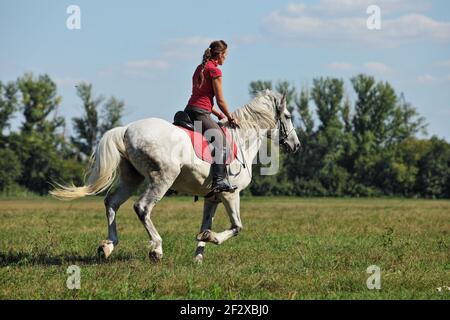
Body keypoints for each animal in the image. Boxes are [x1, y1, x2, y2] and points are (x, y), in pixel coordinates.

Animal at [51, 89, 300, 262]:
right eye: (288, 116)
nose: (296, 145)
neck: (241, 140)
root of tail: (126, 129)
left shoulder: (212, 197)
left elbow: (205, 224)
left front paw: (199, 254)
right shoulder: (231, 194)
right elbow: (237, 227)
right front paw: (211, 238)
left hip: (132, 178)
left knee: (112, 203)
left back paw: (108, 246)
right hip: (163, 177)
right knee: (142, 208)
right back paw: (156, 249)